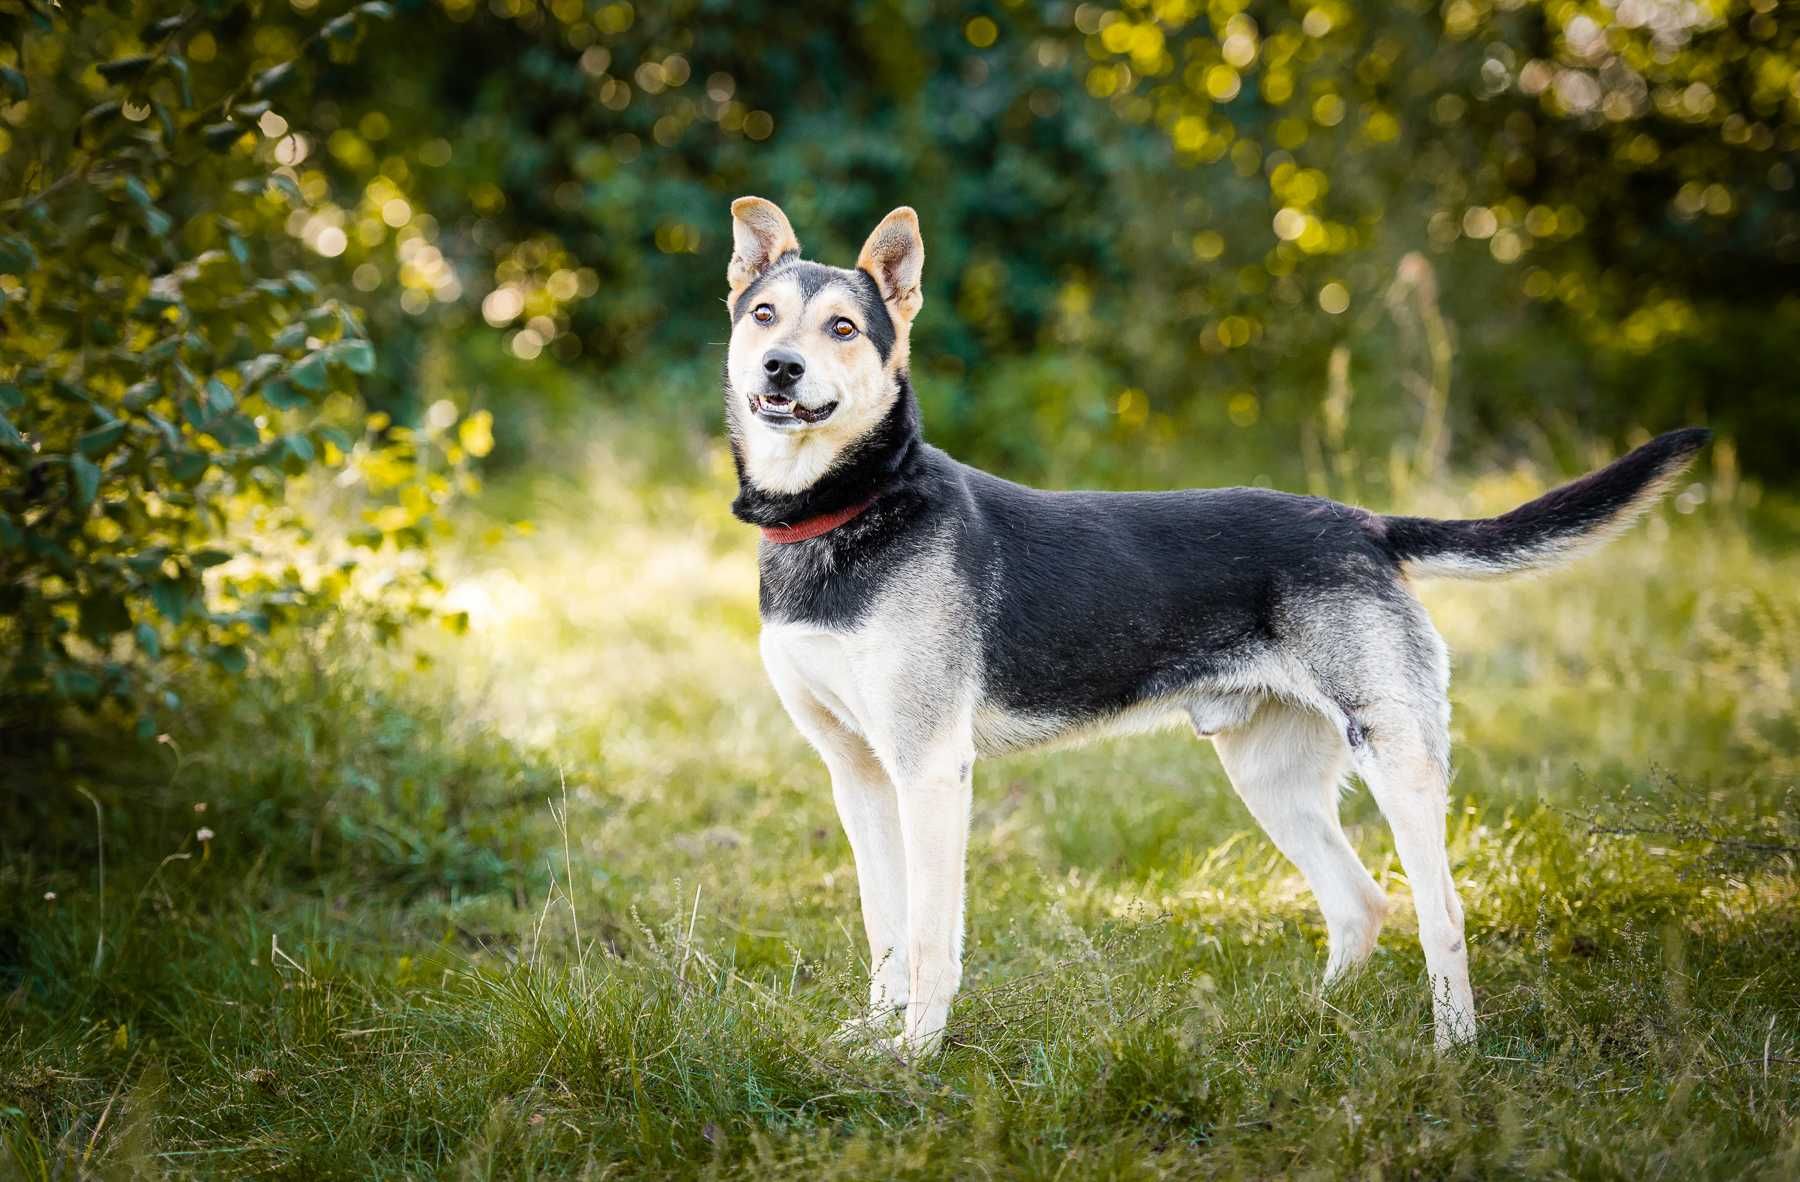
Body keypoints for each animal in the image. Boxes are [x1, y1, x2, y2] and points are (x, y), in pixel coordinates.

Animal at [720, 197, 1713, 1057]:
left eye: (843, 329)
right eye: (764, 316)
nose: (781, 369)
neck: (846, 509)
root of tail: (1364, 524)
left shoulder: (930, 768)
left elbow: (930, 937)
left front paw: (916, 1054)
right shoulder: (859, 774)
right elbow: (885, 927)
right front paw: (870, 1035)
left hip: (1398, 757)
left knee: (1442, 914)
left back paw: (1453, 1049)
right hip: (1269, 775)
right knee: (1360, 905)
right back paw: (1307, 1023)